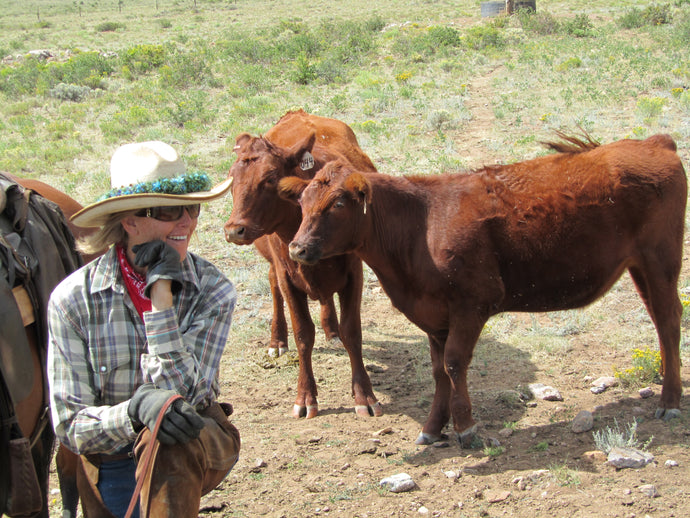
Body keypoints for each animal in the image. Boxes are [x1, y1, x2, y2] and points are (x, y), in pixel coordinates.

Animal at [222, 111, 378, 420]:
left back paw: (331, 331)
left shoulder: (354, 274)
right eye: (232, 178)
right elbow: (303, 334)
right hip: (275, 265)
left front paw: (364, 395)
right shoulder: (288, 276)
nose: (235, 230)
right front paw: (305, 397)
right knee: (273, 286)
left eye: (270, 178)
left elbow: (352, 331)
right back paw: (277, 341)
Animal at [280, 134, 688, 446]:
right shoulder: (434, 316)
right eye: (302, 202)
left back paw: (670, 400)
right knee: (659, 321)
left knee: (669, 321)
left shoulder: (472, 305)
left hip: (661, 260)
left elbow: (454, 363)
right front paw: (433, 428)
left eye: (337, 203)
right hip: (640, 268)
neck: (421, 224)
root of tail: (655, 143)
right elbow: (438, 371)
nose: (297, 249)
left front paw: (465, 427)